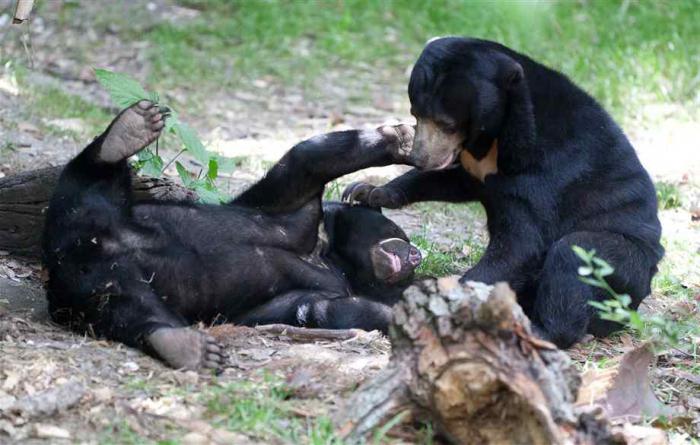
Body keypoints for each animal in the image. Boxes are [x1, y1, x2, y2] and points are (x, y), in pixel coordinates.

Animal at [45, 102, 422, 370]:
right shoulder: (292, 212)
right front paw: (402, 139)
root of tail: (65, 260)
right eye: (397, 231)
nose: (415, 255)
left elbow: (323, 310)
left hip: (99, 277)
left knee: (127, 308)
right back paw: (127, 132)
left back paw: (185, 346)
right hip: (80, 207)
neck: (330, 256)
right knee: (87, 177)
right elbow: (307, 163)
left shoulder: (315, 293)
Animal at [348, 37, 664, 346]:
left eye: (446, 123)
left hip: (626, 262)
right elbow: (453, 180)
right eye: (416, 114)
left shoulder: (543, 172)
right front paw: (367, 191)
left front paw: (455, 297)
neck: (496, 137)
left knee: (575, 254)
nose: (418, 157)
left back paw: (539, 330)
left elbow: (522, 244)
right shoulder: (475, 165)